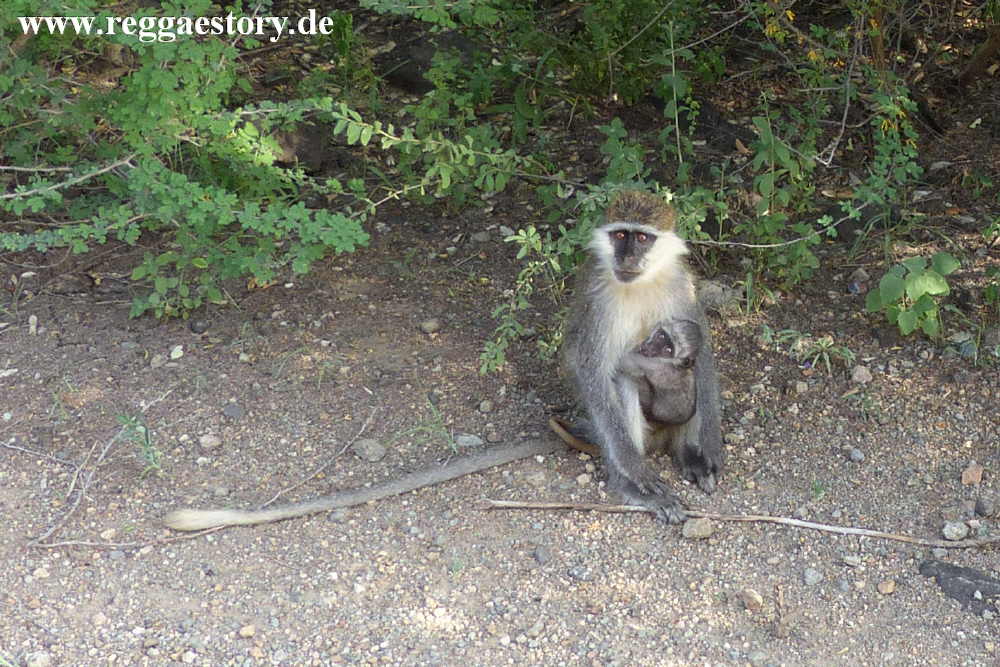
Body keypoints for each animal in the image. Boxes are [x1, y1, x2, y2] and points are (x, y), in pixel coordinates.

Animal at [560, 189, 723, 524]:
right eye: (621, 235)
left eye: (644, 238)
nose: (627, 257)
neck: (642, 282)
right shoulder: (598, 301)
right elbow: (592, 369)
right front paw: (634, 469)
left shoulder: (682, 285)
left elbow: (702, 350)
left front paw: (711, 443)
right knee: (621, 386)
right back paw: (632, 485)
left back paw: (691, 455)